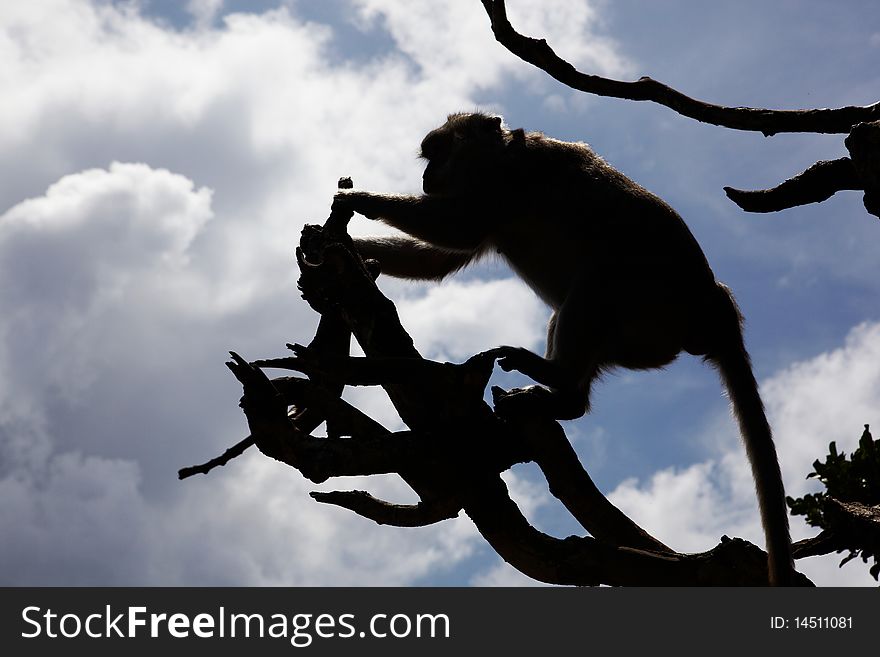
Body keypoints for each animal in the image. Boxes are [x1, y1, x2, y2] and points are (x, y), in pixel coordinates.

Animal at [332, 113, 796, 584]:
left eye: (438, 153)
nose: (426, 176)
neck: (501, 157)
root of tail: (714, 306)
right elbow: (436, 260)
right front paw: (344, 247)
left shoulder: (507, 184)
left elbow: (458, 229)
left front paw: (361, 199)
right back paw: (567, 399)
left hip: (654, 309)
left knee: (596, 278)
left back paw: (554, 375)